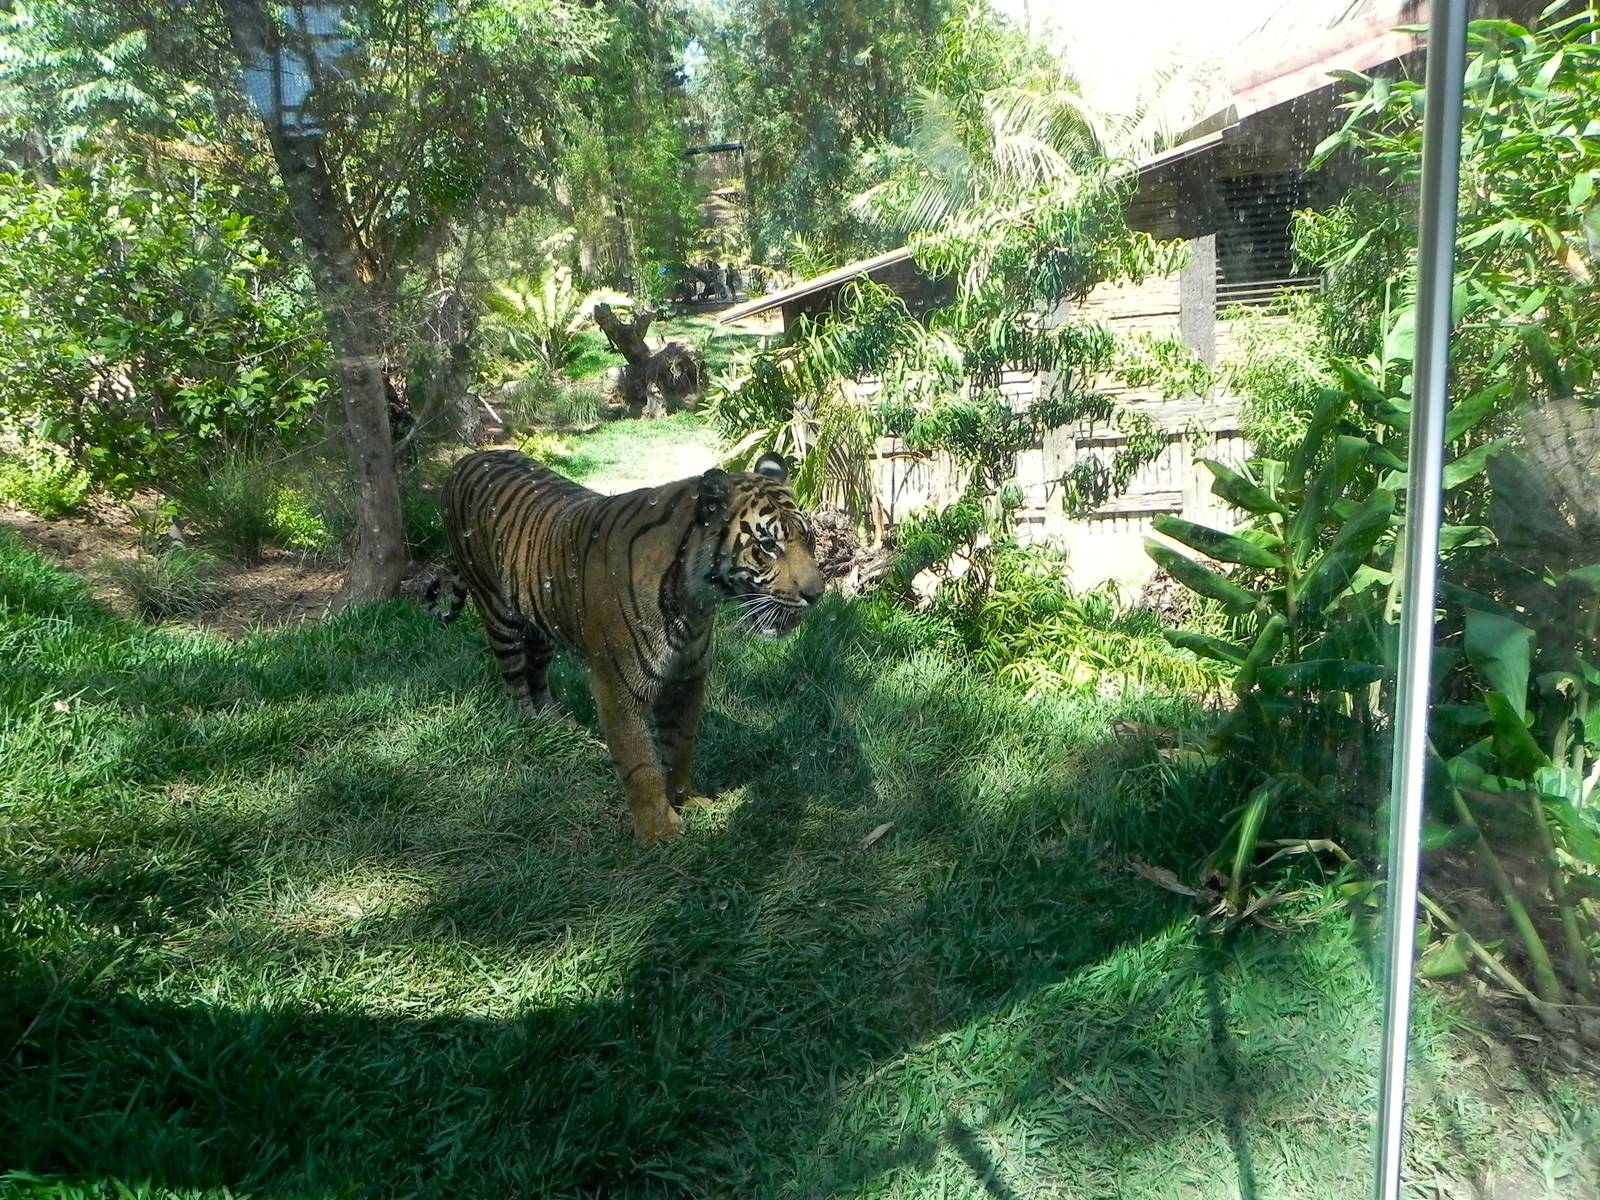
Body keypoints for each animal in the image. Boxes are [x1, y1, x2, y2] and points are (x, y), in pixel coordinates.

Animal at [430, 448, 824, 842]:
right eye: (768, 546)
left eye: (809, 540)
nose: (817, 594)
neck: (696, 603)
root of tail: (466, 459)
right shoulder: (616, 686)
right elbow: (640, 762)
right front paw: (660, 831)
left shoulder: (686, 677)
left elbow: (680, 744)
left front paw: (686, 799)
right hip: (498, 612)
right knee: (514, 680)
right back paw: (528, 724)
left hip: (542, 622)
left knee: (538, 673)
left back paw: (554, 723)